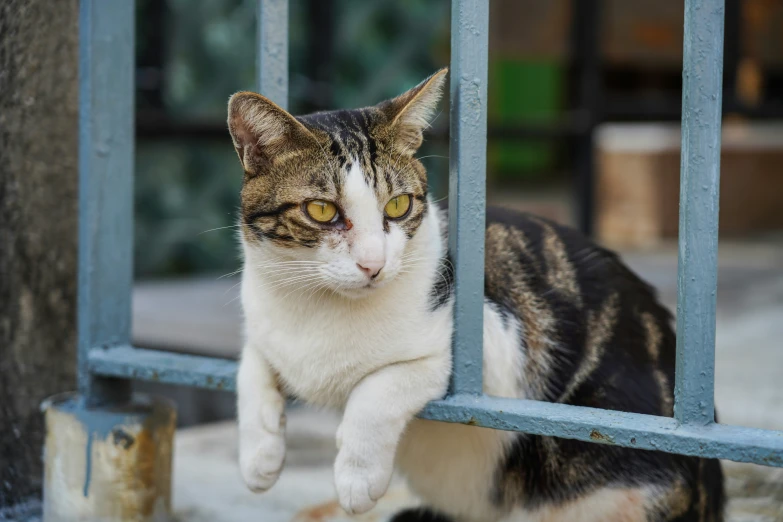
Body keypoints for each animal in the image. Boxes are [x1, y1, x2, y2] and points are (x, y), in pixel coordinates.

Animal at [225, 70, 724, 520]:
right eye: (321, 210)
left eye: (398, 205)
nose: (373, 263)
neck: (317, 303)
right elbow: (251, 364)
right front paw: (258, 459)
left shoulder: (494, 345)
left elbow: (380, 385)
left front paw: (356, 478)